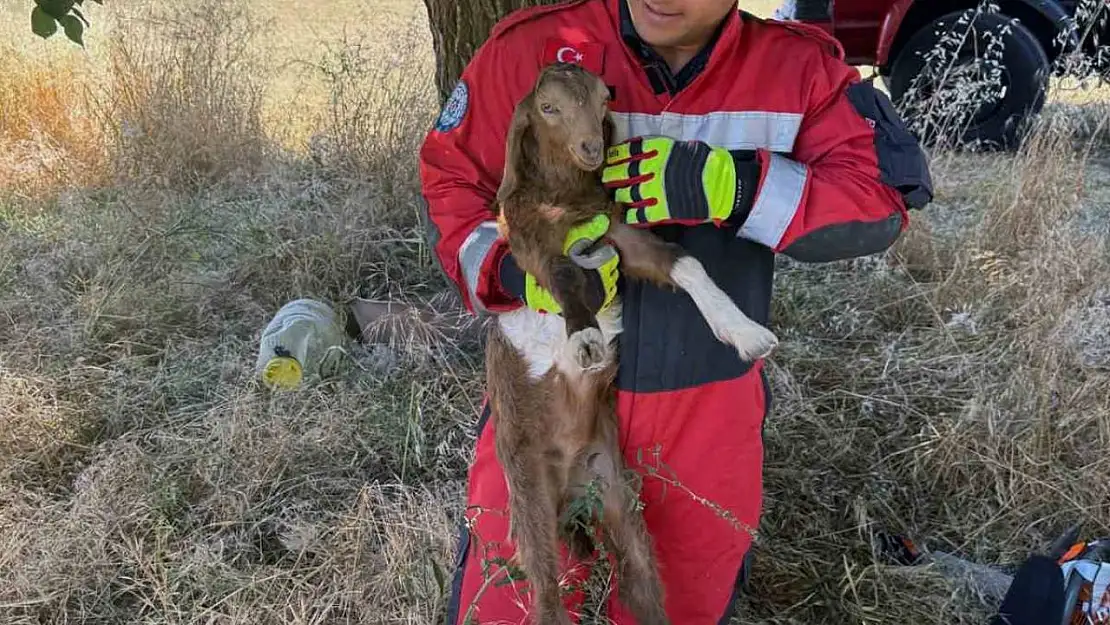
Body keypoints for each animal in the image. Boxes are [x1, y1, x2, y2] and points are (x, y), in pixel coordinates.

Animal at [486, 63, 781, 625]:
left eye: (605, 98)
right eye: (548, 108)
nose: (591, 149)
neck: (566, 196)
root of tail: (570, 490)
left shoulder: (620, 233)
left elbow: (683, 263)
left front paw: (744, 330)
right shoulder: (530, 239)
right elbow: (562, 275)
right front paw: (583, 336)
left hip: (618, 495)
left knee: (643, 580)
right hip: (529, 497)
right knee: (547, 595)